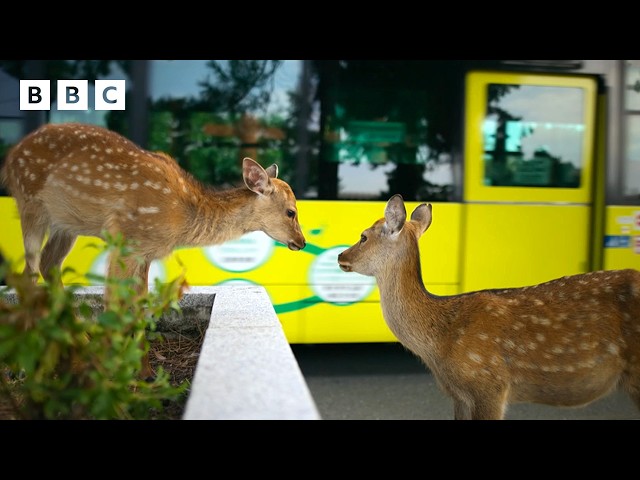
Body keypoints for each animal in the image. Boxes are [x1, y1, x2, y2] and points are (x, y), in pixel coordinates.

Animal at [1, 123, 308, 378]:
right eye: (291, 211)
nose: (301, 242)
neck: (182, 216)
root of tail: (10, 157)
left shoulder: (146, 252)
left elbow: (140, 304)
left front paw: (144, 372)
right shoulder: (126, 238)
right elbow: (114, 300)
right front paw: (113, 372)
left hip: (66, 224)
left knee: (48, 264)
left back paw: (78, 347)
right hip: (30, 203)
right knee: (28, 272)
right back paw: (23, 367)